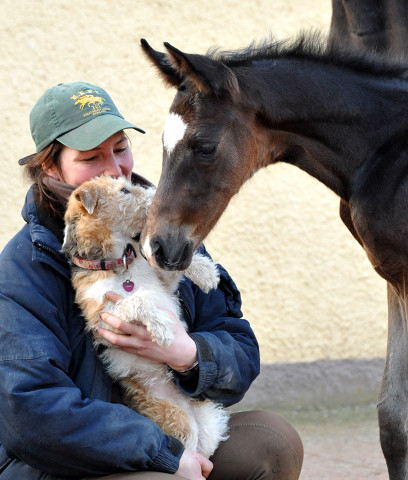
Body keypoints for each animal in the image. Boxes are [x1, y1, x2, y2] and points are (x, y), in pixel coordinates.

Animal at [63, 176, 230, 458]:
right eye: (124, 190)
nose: (157, 198)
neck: (119, 263)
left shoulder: (165, 286)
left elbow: (168, 269)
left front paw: (207, 273)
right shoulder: (104, 320)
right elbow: (141, 298)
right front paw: (162, 329)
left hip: (209, 420)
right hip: (179, 422)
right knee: (189, 449)